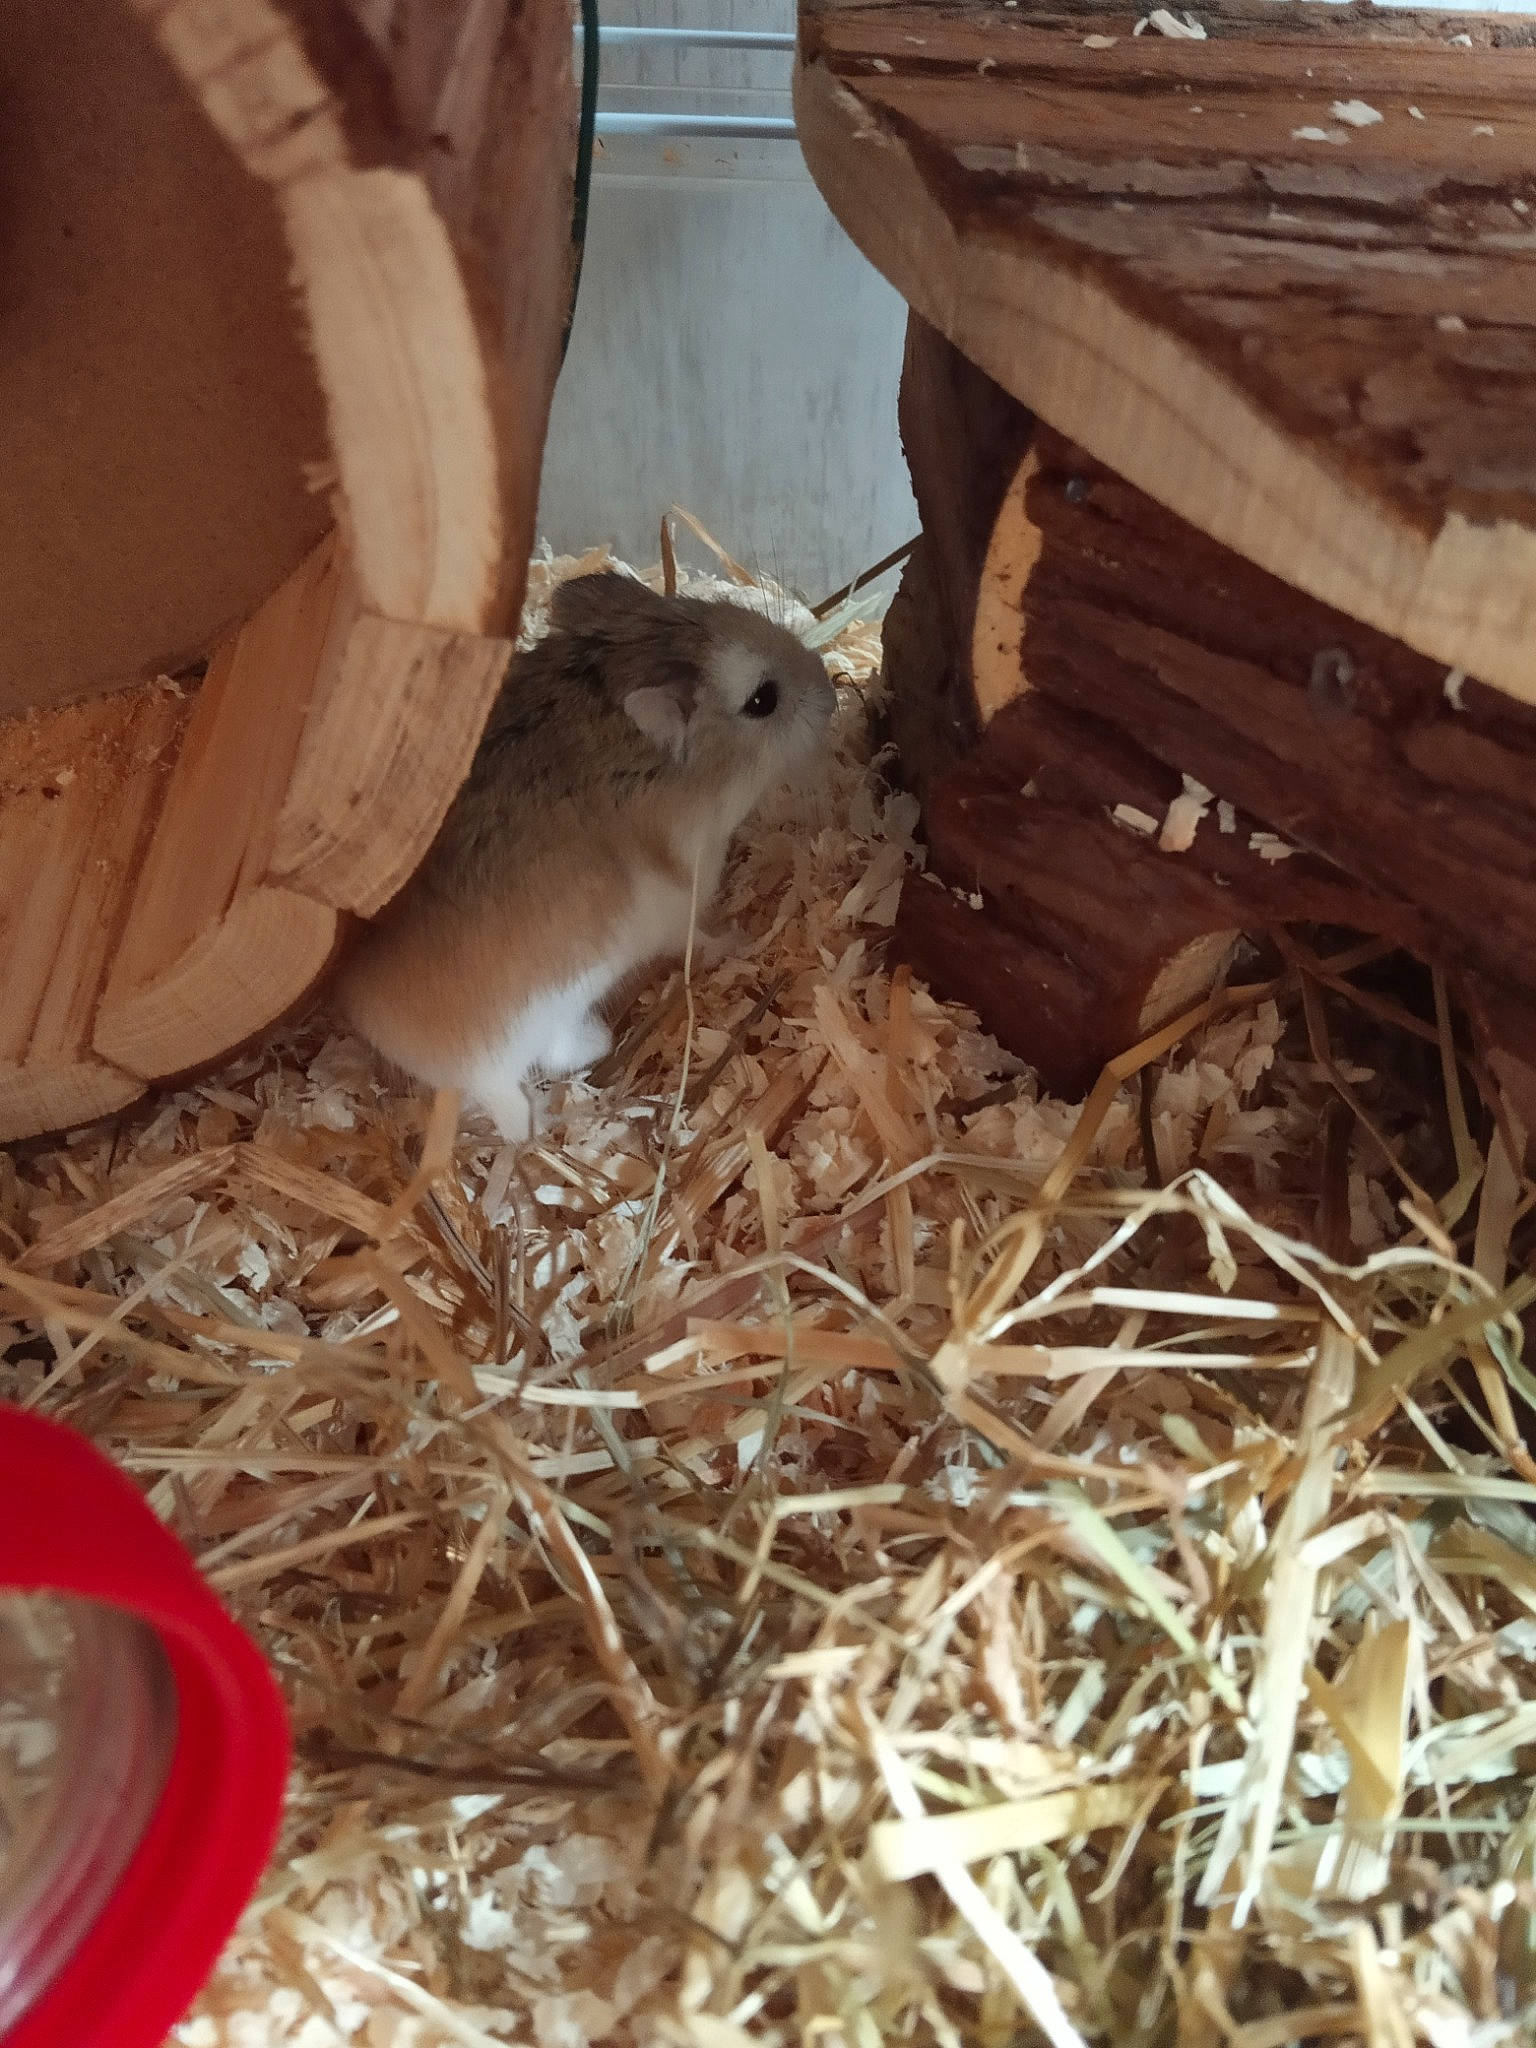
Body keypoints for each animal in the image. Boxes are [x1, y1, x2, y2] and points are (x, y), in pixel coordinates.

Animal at [337, 570, 838, 1140]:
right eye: (762, 700)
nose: (832, 693)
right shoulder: (681, 906)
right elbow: (704, 941)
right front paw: (742, 939)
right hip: (518, 1043)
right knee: (518, 1107)